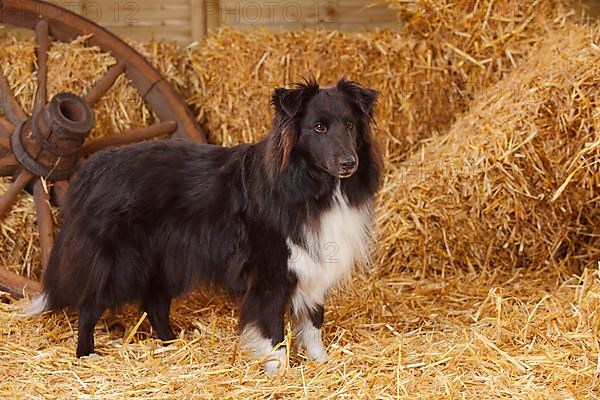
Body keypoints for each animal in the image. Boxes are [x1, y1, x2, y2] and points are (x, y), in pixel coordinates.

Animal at [25, 79, 382, 376]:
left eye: (350, 125)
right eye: (318, 127)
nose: (349, 163)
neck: (309, 184)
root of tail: (96, 165)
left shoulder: (313, 265)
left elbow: (313, 323)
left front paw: (322, 364)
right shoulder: (270, 273)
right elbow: (273, 329)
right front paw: (280, 373)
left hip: (164, 260)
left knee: (154, 303)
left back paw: (171, 344)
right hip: (120, 261)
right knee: (90, 305)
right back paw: (86, 355)